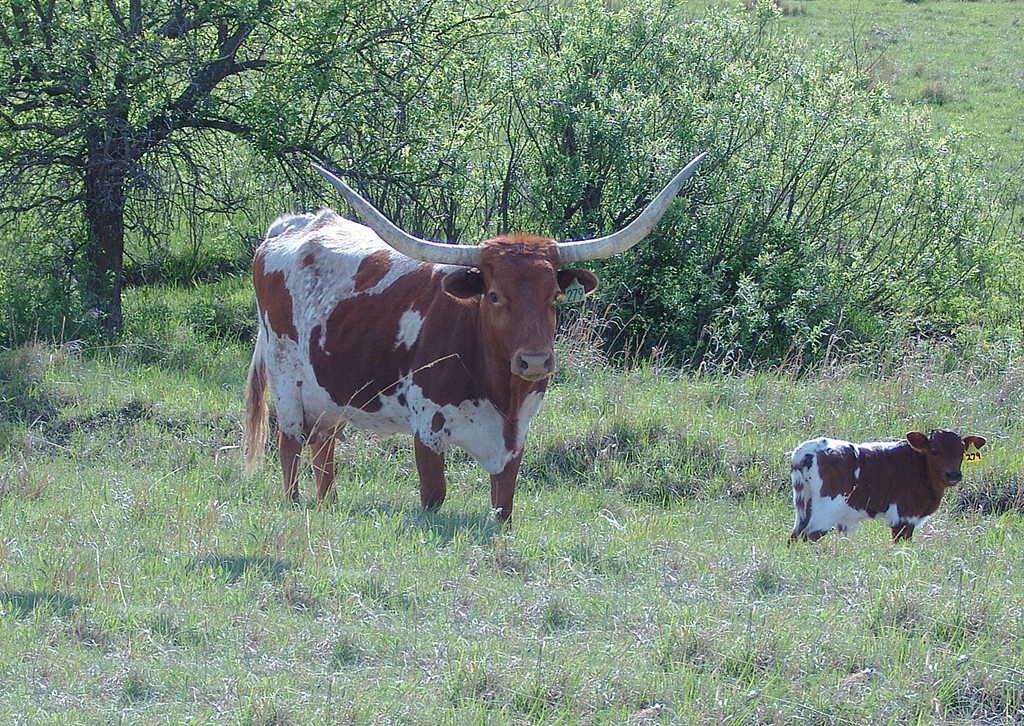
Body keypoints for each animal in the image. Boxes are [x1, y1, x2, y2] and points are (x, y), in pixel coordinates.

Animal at [243, 152, 707, 521]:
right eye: (495, 295)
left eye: (554, 296)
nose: (534, 361)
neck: (499, 389)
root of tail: (295, 224)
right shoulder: (427, 430)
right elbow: (434, 496)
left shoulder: (516, 437)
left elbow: (504, 506)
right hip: (287, 385)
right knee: (291, 447)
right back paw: (295, 506)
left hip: (330, 396)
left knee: (324, 451)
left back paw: (329, 506)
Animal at [789, 429, 986, 542]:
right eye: (934, 451)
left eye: (961, 452)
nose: (953, 474)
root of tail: (808, 450)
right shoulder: (904, 517)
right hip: (826, 508)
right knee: (809, 535)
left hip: (804, 506)